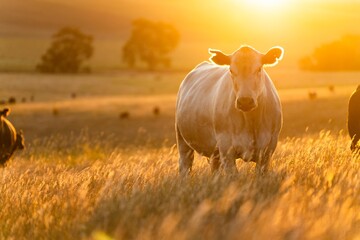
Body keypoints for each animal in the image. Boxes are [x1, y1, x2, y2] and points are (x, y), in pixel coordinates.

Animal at [176, 45, 284, 175]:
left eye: (259, 69)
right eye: (231, 70)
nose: (245, 101)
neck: (251, 121)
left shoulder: (268, 150)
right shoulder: (226, 149)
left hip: (214, 152)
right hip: (182, 140)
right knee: (185, 166)